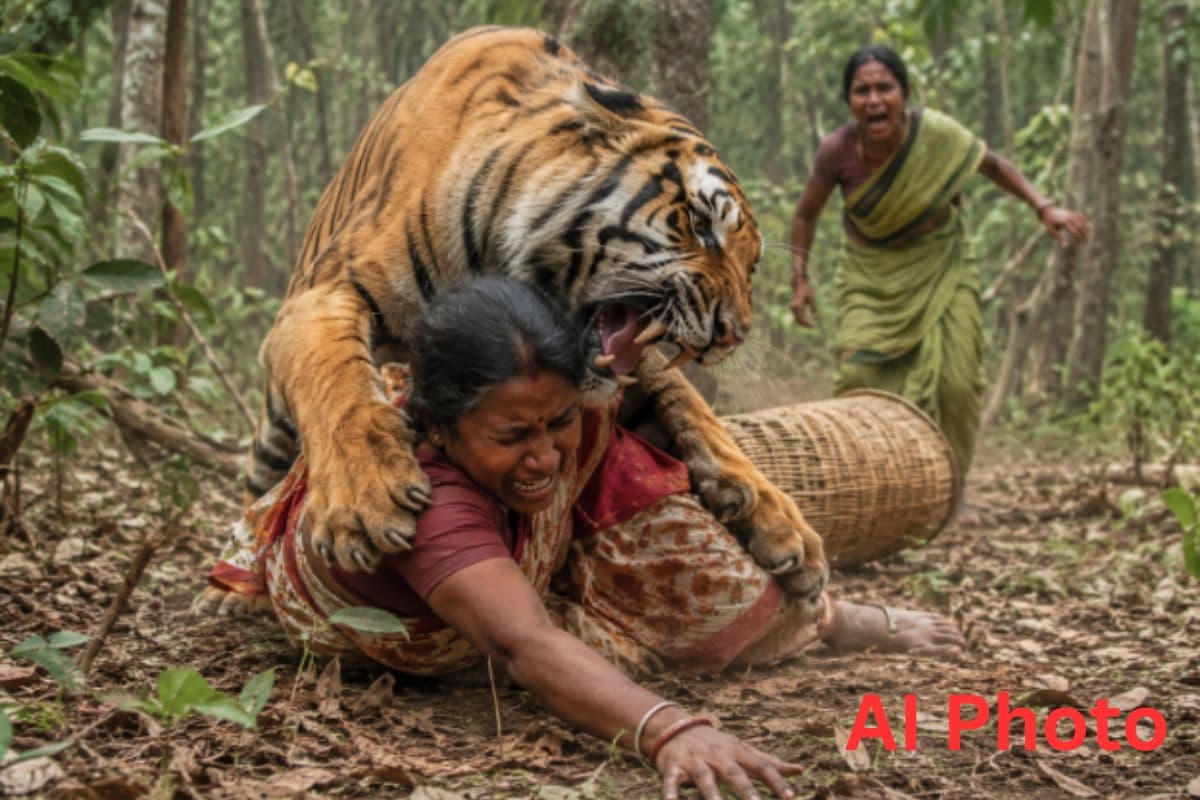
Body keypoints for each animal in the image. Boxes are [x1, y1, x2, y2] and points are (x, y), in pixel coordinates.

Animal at [245, 25, 827, 600]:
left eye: (752, 266)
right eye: (700, 223)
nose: (734, 333)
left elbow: (693, 408)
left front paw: (782, 524)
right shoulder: (326, 289)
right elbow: (337, 384)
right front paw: (365, 498)